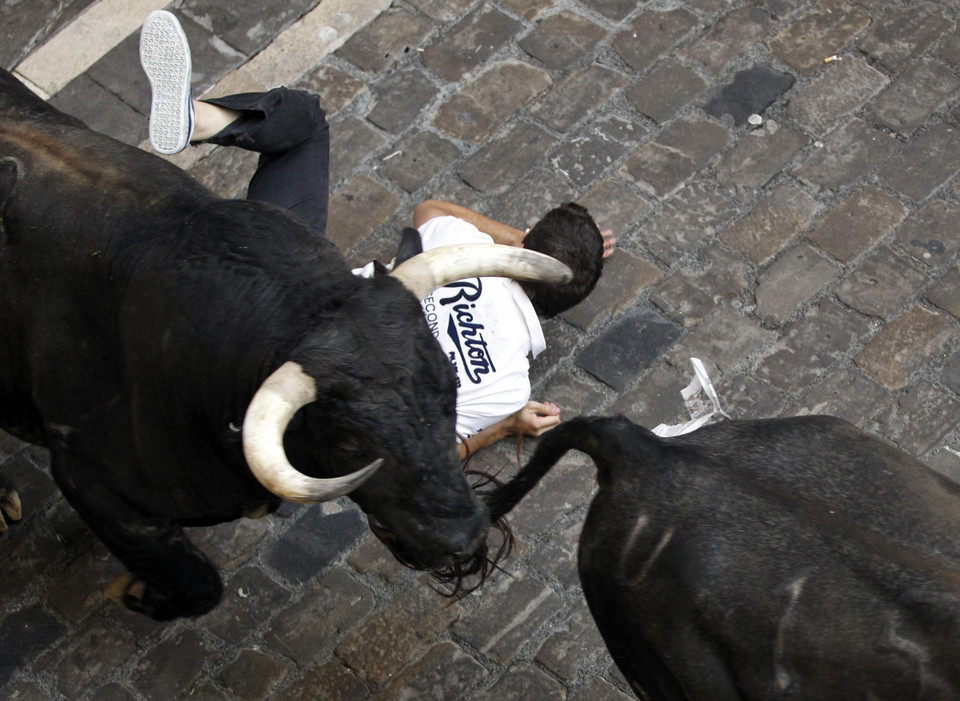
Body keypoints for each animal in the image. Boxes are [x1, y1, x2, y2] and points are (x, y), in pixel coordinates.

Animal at [0, 69, 568, 616]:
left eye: (449, 394)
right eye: (351, 446)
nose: (463, 539)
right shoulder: (91, 479)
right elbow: (197, 583)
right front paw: (135, 592)